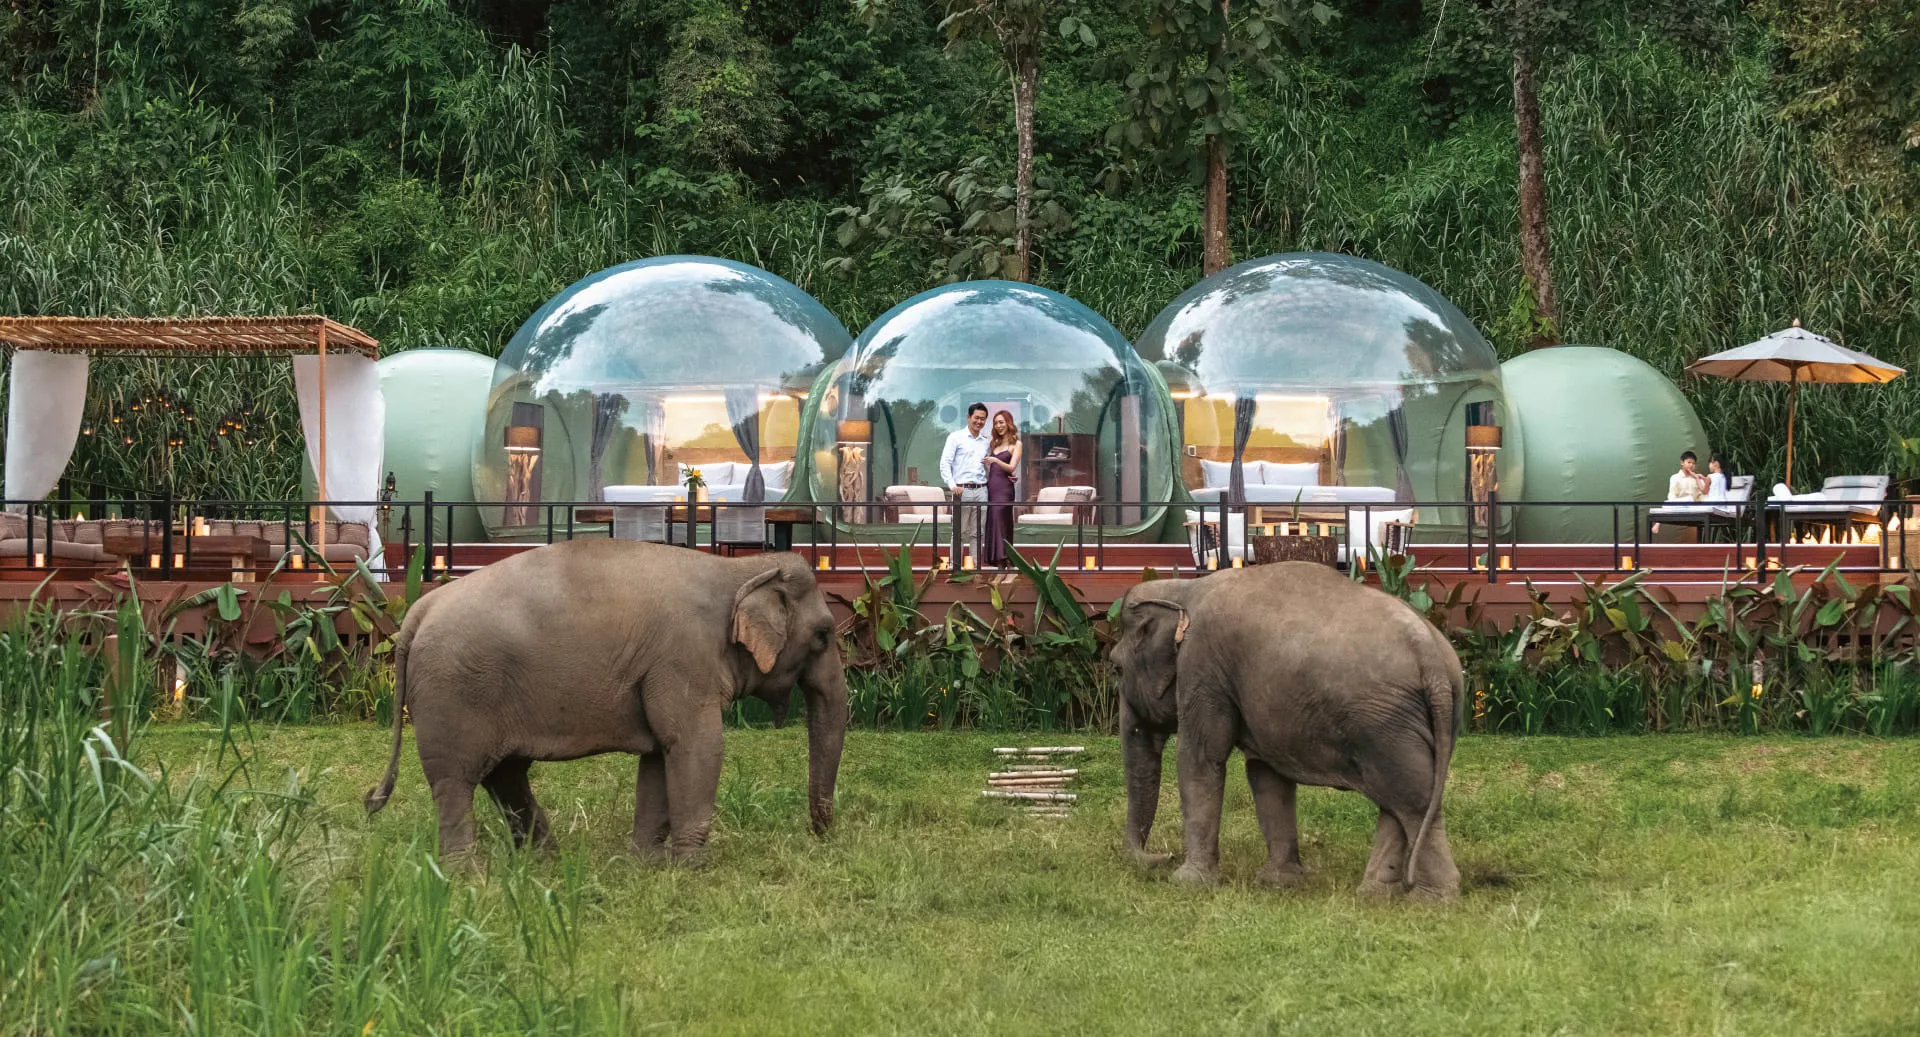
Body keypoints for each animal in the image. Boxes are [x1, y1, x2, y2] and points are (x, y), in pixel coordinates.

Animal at [364, 540, 849, 862]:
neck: (739, 568)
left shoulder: (658, 671)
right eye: (824, 635)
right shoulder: (682, 661)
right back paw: (466, 878)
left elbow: (659, 756)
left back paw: (546, 863)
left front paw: (643, 865)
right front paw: (692, 868)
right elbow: (696, 746)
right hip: (453, 694)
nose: (820, 833)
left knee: (505, 776)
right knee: (456, 783)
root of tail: (417, 613)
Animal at [1112, 561, 1462, 899]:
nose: (1162, 856)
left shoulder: (1202, 665)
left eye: (1115, 668)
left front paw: (1188, 882)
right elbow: (1266, 774)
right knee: (1399, 799)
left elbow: (1200, 758)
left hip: (1384, 725)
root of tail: (1431, 654)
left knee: (1411, 800)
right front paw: (1279, 882)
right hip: (1420, 721)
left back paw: (1430, 898)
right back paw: (1374, 894)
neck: (1184, 588)